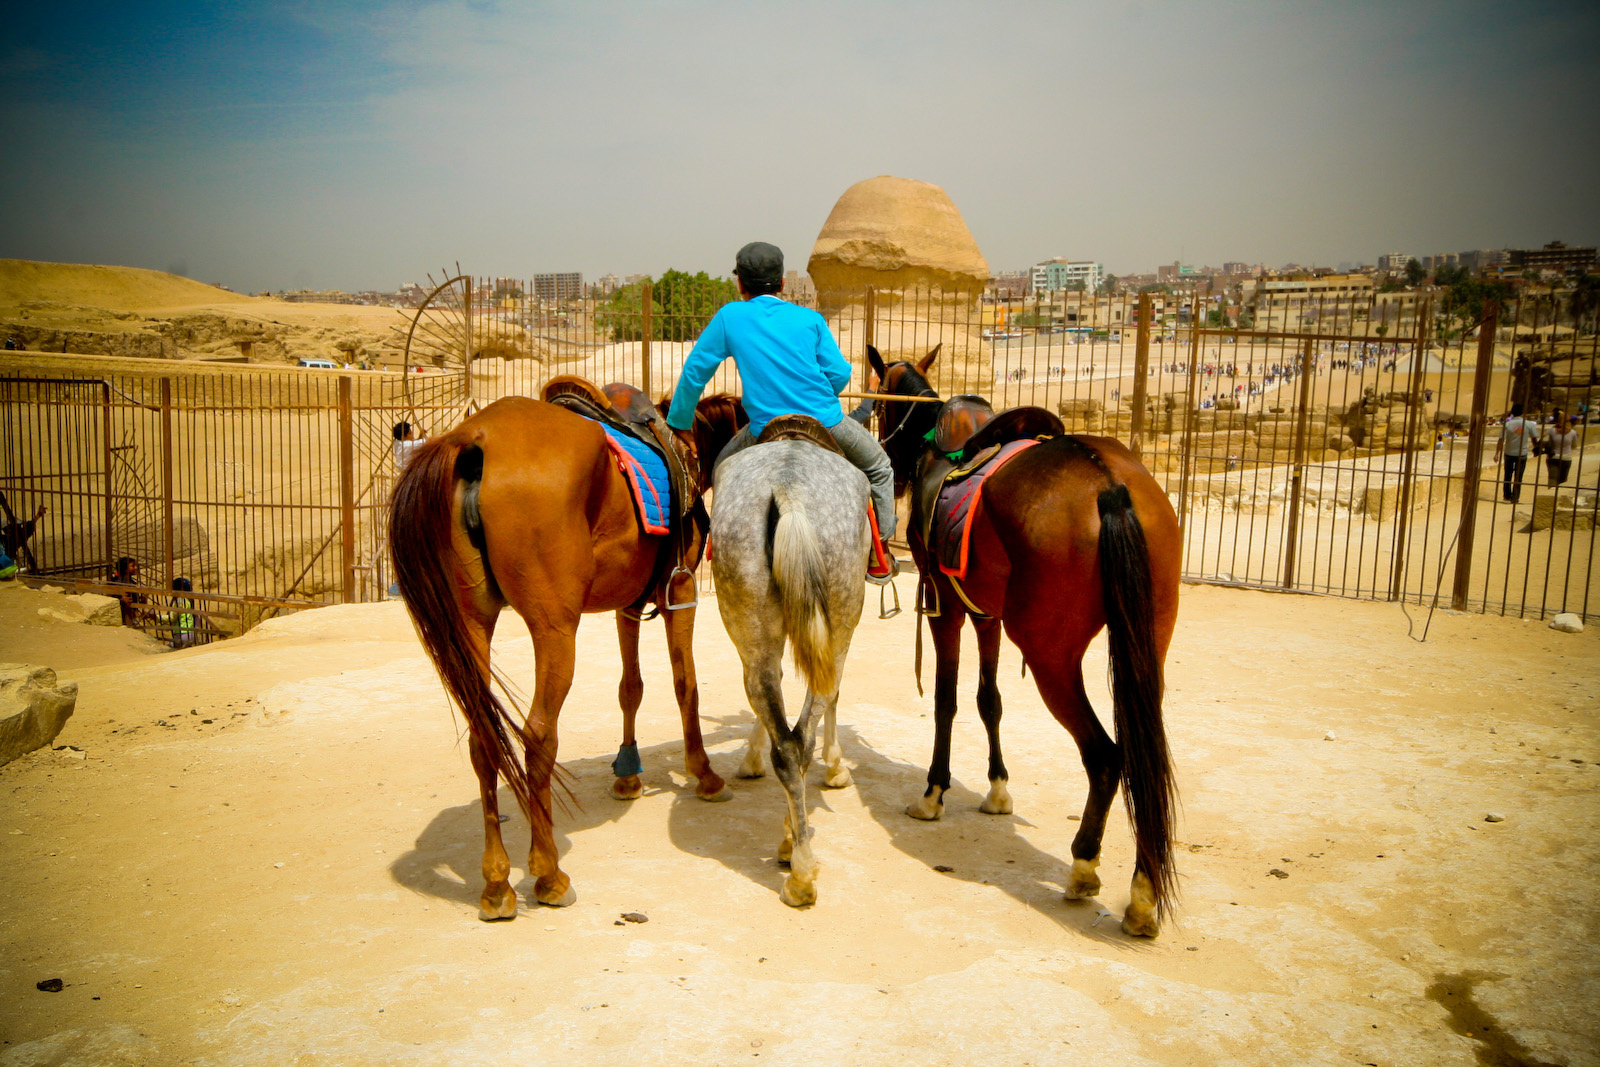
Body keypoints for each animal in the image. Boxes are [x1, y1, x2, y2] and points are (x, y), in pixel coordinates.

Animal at [390, 388, 739, 921]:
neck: (690, 444)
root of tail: (474, 439)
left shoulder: (628, 603)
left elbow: (630, 688)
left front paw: (628, 772)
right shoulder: (679, 593)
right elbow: (687, 687)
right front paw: (704, 774)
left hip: (473, 622)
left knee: (484, 739)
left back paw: (497, 885)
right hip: (554, 629)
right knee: (537, 737)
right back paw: (548, 874)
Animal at [710, 438, 870, 908]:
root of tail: (790, 489)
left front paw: (749, 758)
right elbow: (834, 696)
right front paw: (836, 767)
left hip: (750, 612)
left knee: (786, 740)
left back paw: (796, 864)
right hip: (840, 617)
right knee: (803, 734)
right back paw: (800, 865)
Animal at [870, 348, 1184, 934]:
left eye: (879, 407)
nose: (890, 465)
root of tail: (1109, 484)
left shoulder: (947, 606)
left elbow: (947, 701)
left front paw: (934, 791)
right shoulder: (985, 611)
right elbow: (989, 700)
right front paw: (997, 789)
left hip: (1047, 651)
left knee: (1106, 757)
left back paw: (1084, 866)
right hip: (1147, 642)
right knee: (1142, 757)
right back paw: (1143, 891)